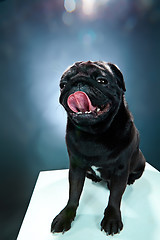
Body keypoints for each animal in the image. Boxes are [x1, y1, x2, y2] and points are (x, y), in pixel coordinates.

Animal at [50, 61, 146, 235]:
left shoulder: (120, 170)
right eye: (63, 85)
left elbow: (115, 197)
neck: (94, 134)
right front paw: (65, 216)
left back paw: (129, 180)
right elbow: (73, 193)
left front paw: (112, 218)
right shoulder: (76, 167)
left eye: (102, 81)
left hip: (140, 162)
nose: (78, 81)